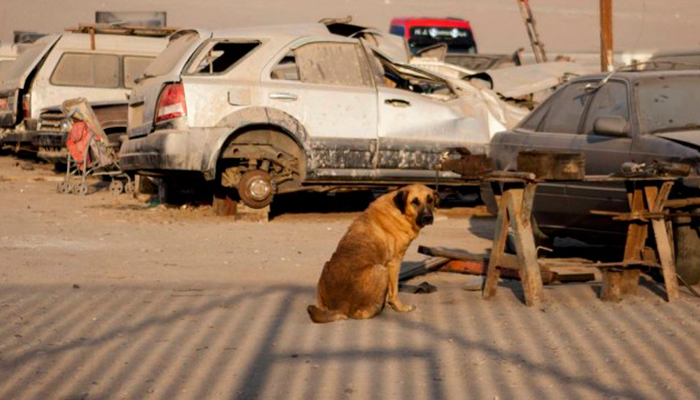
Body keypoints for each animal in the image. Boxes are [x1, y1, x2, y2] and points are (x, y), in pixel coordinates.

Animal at [308, 184, 438, 322]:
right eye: (414, 201)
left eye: (430, 200)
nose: (428, 217)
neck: (400, 211)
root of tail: (341, 306)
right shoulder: (394, 263)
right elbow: (394, 291)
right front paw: (400, 308)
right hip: (381, 270)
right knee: (361, 314)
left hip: (326, 266)